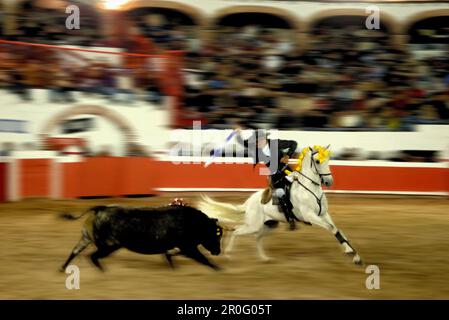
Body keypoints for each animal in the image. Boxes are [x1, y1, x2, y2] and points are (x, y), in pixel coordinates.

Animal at [59, 206, 224, 272]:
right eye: (213, 235)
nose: (218, 251)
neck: (193, 223)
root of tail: (101, 209)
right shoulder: (188, 247)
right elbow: (203, 259)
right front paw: (219, 269)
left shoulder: (183, 247)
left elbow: (171, 255)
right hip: (109, 246)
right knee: (92, 256)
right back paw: (104, 272)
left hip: (86, 238)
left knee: (76, 251)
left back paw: (62, 268)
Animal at [198, 146, 362, 264]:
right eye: (317, 161)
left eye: (328, 159)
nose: (329, 182)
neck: (310, 189)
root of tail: (248, 203)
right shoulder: (311, 216)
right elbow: (332, 228)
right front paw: (352, 254)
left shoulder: (323, 214)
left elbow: (337, 230)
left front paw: (353, 254)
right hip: (253, 225)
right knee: (237, 231)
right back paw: (228, 254)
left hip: (269, 225)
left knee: (257, 238)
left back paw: (264, 258)